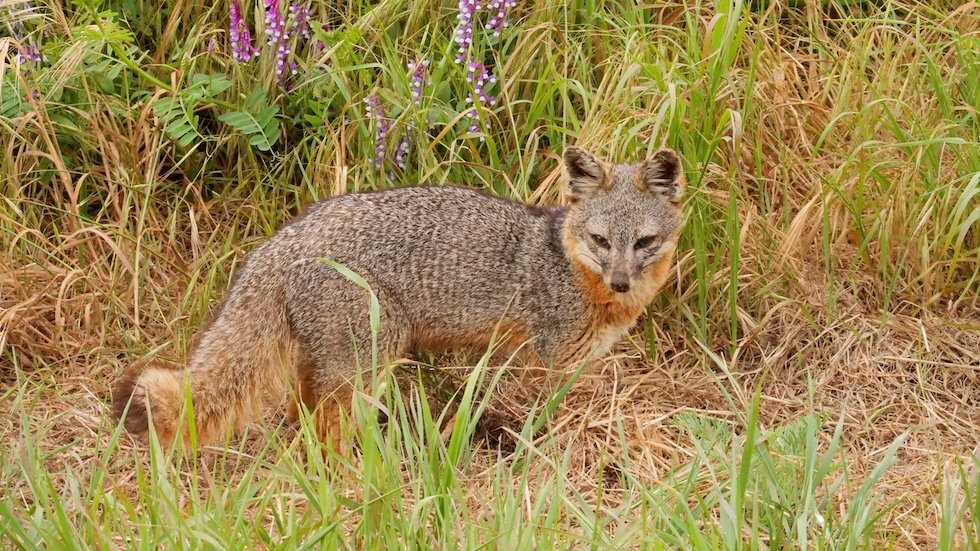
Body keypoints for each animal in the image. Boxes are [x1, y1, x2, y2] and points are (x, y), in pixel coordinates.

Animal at [112, 146, 685, 448]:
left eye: (643, 242)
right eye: (601, 241)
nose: (621, 281)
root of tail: (284, 239)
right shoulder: (545, 365)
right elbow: (541, 421)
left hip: (329, 365)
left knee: (304, 417)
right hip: (367, 363)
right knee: (327, 428)